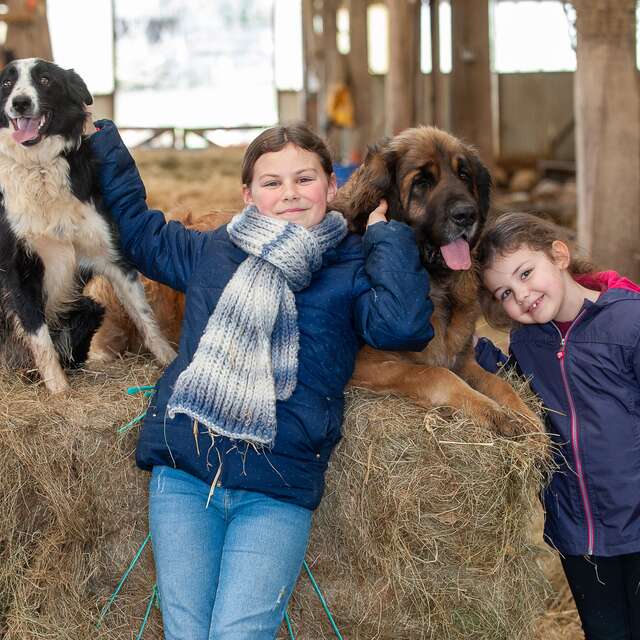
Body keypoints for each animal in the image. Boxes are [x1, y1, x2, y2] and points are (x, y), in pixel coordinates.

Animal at [332, 125, 544, 436]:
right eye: (422, 181)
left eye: (464, 175)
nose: (467, 215)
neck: (436, 285)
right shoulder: (364, 364)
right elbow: (434, 373)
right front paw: (493, 412)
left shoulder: (463, 360)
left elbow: (499, 383)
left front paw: (527, 419)